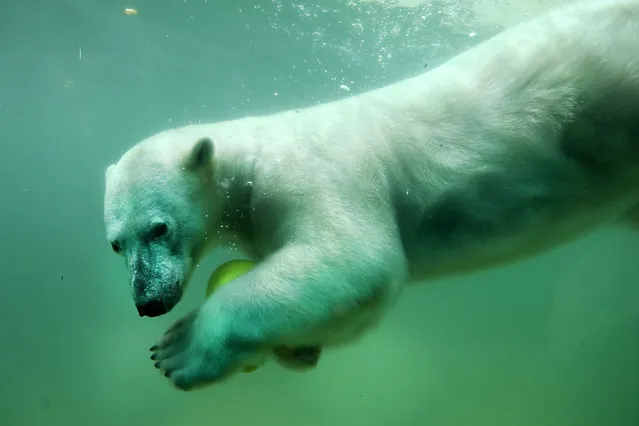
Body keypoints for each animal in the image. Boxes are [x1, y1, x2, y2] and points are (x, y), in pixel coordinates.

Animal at [102, 0, 639, 390]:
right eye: (115, 243)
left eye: (159, 227)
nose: (149, 302)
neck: (249, 159)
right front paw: (300, 349)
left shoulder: (311, 174)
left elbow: (353, 260)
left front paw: (180, 348)